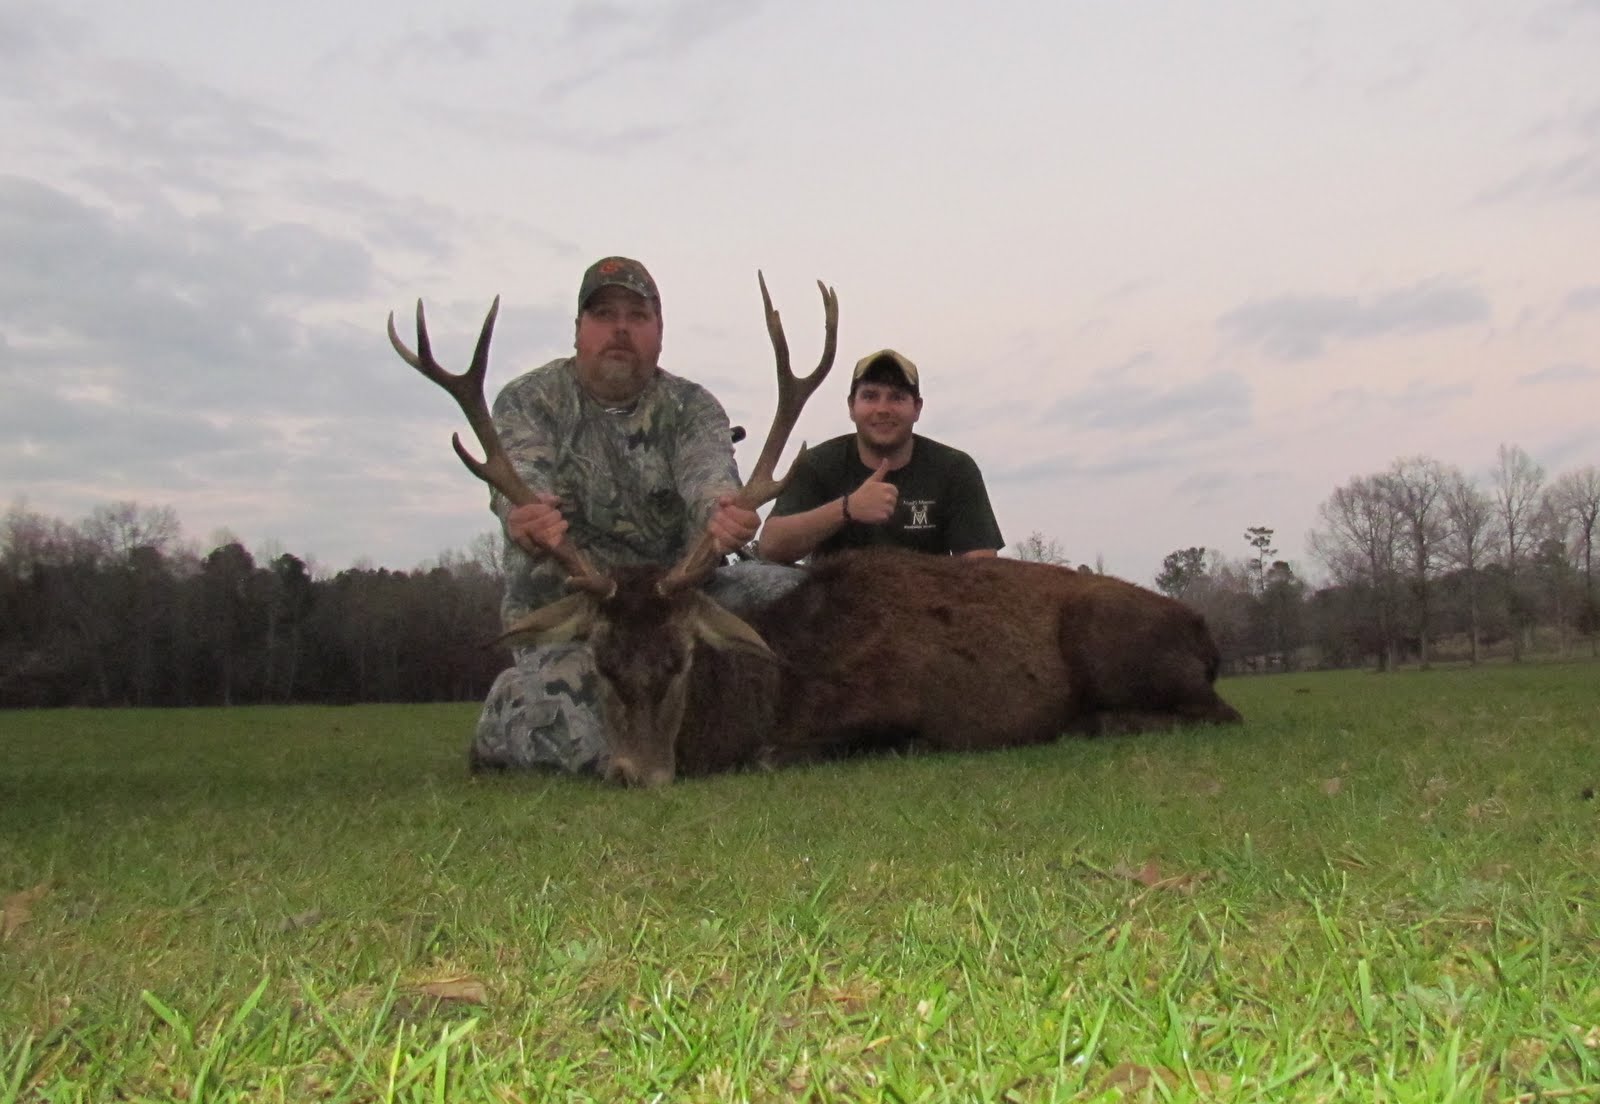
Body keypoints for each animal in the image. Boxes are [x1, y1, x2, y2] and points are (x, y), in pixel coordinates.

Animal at [390, 278, 1242, 787]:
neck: (774, 691)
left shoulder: (895, 708)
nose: (635, 772)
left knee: (1219, 714)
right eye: (598, 658)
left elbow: (789, 754)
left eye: (683, 656)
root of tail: (1206, 630)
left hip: (1113, 643)